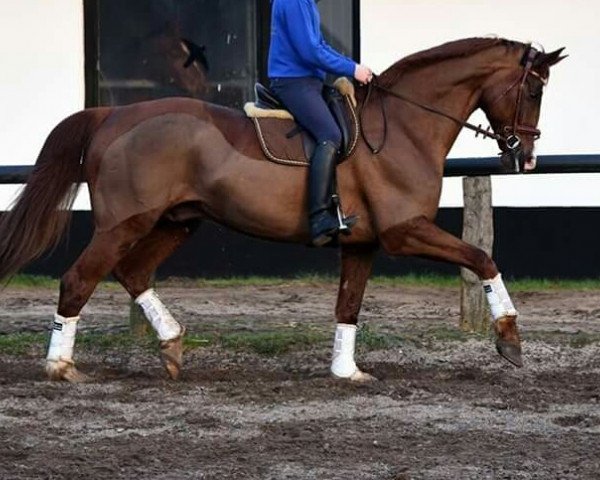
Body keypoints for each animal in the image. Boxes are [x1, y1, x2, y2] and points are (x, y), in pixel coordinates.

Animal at [0, 37, 564, 382]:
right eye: (535, 90)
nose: (527, 157)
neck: (403, 125)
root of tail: (111, 115)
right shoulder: (406, 231)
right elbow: (483, 258)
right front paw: (510, 340)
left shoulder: (362, 243)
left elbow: (348, 306)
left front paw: (346, 372)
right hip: (124, 223)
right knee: (79, 279)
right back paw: (61, 368)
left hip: (177, 221)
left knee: (132, 271)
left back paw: (172, 345)